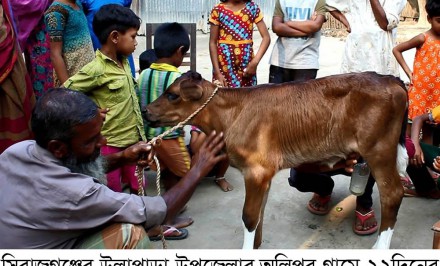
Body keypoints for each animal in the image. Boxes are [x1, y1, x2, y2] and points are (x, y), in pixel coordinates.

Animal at [145, 71, 410, 249]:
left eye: (172, 95)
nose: (146, 111)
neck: (230, 115)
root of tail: (389, 78)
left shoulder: (256, 170)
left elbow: (249, 216)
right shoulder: (266, 173)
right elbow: (259, 212)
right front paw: (256, 246)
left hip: (379, 150)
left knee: (392, 194)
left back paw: (379, 249)